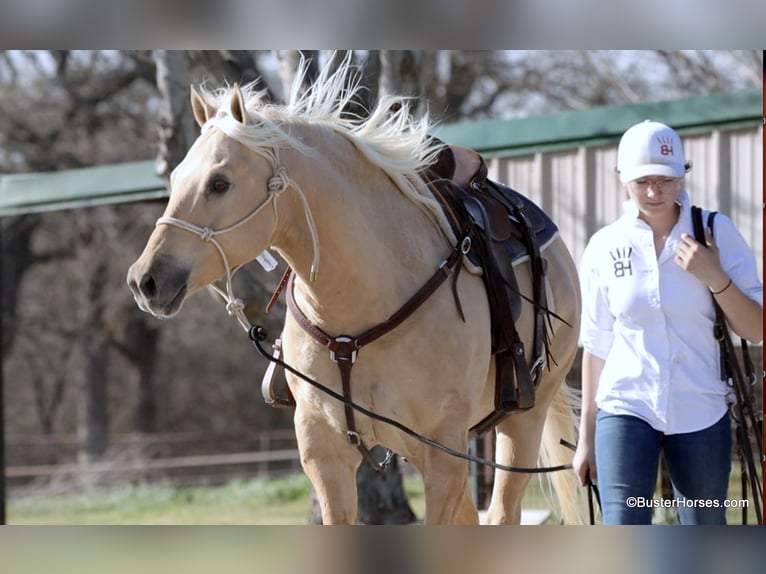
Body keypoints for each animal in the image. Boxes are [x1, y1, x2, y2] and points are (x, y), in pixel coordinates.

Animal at [127, 58, 584, 525]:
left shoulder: (443, 453)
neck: (365, 299)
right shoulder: (324, 451)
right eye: (176, 177)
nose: (145, 280)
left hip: (522, 424)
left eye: (220, 182)